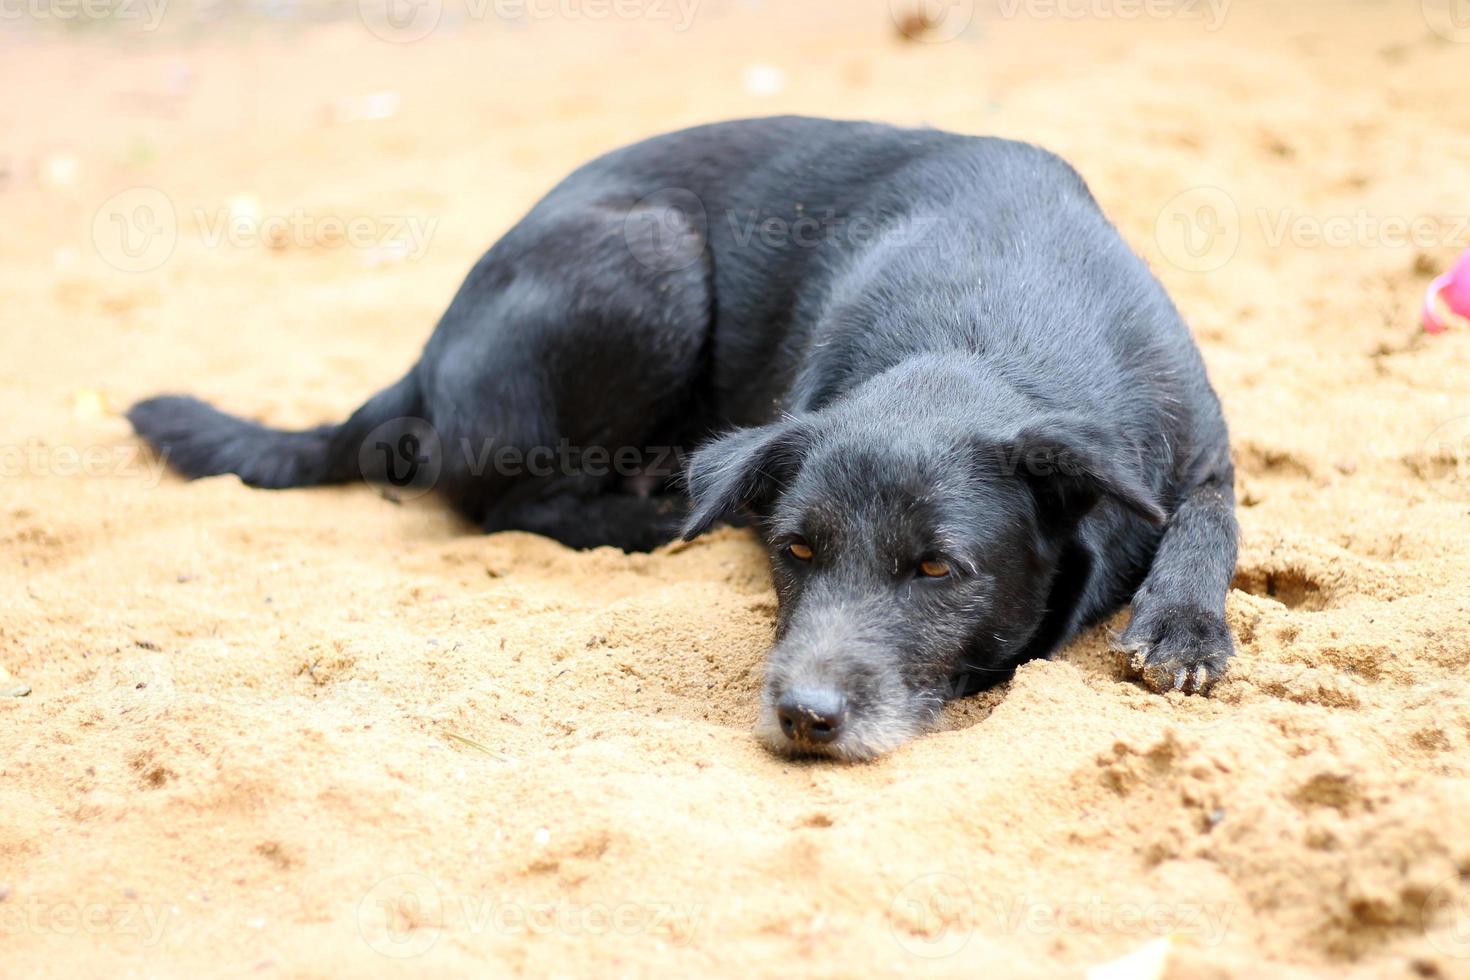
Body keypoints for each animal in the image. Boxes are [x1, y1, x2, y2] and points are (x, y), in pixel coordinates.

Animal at [126, 115, 1234, 758]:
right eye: (795, 551)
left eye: (936, 569)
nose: (804, 716)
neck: (985, 329)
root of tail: (428, 351)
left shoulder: (1204, 451)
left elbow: (1209, 520)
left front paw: (1183, 624)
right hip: (649, 254)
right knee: (504, 499)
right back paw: (656, 509)